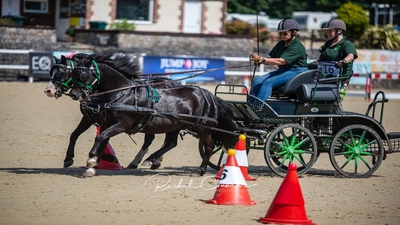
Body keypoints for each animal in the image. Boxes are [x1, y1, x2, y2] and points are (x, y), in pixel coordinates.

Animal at [45, 53, 180, 169]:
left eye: (61, 73)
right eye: (51, 72)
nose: (48, 90)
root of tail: (173, 82)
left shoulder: (111, 122)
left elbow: (102, 139)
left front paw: (101, 159)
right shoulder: (89, 118)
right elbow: (75, 135)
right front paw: (69, 159)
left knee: (156, 140)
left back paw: (146, 161)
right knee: (162, 140)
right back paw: (150, 160)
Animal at [68, 51, 238, 178]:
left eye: (83, 75)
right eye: (73, 73)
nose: (74, 95)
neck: (123, 93)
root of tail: (208, 94)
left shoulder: (121, 125)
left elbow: (100, 138)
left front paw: (91, 160)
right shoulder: (105, 124)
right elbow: (101, 139)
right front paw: (92, 166)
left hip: (203, 127)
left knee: (209, 147)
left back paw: (200, 170)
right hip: (176, 125)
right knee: (171, 143)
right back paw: (150, 160)